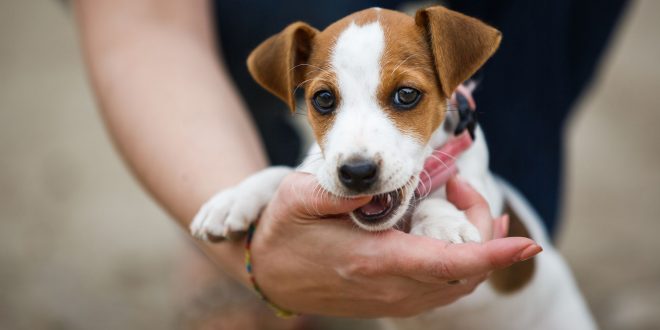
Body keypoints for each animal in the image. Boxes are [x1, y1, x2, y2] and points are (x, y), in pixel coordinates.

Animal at [188, 5, 596, 330]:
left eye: (406, 94)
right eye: (323, 99)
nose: (357, 172)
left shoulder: (483, 195)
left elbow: (439, 196)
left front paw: (442, 225)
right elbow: (281, 174)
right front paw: (232, 200)